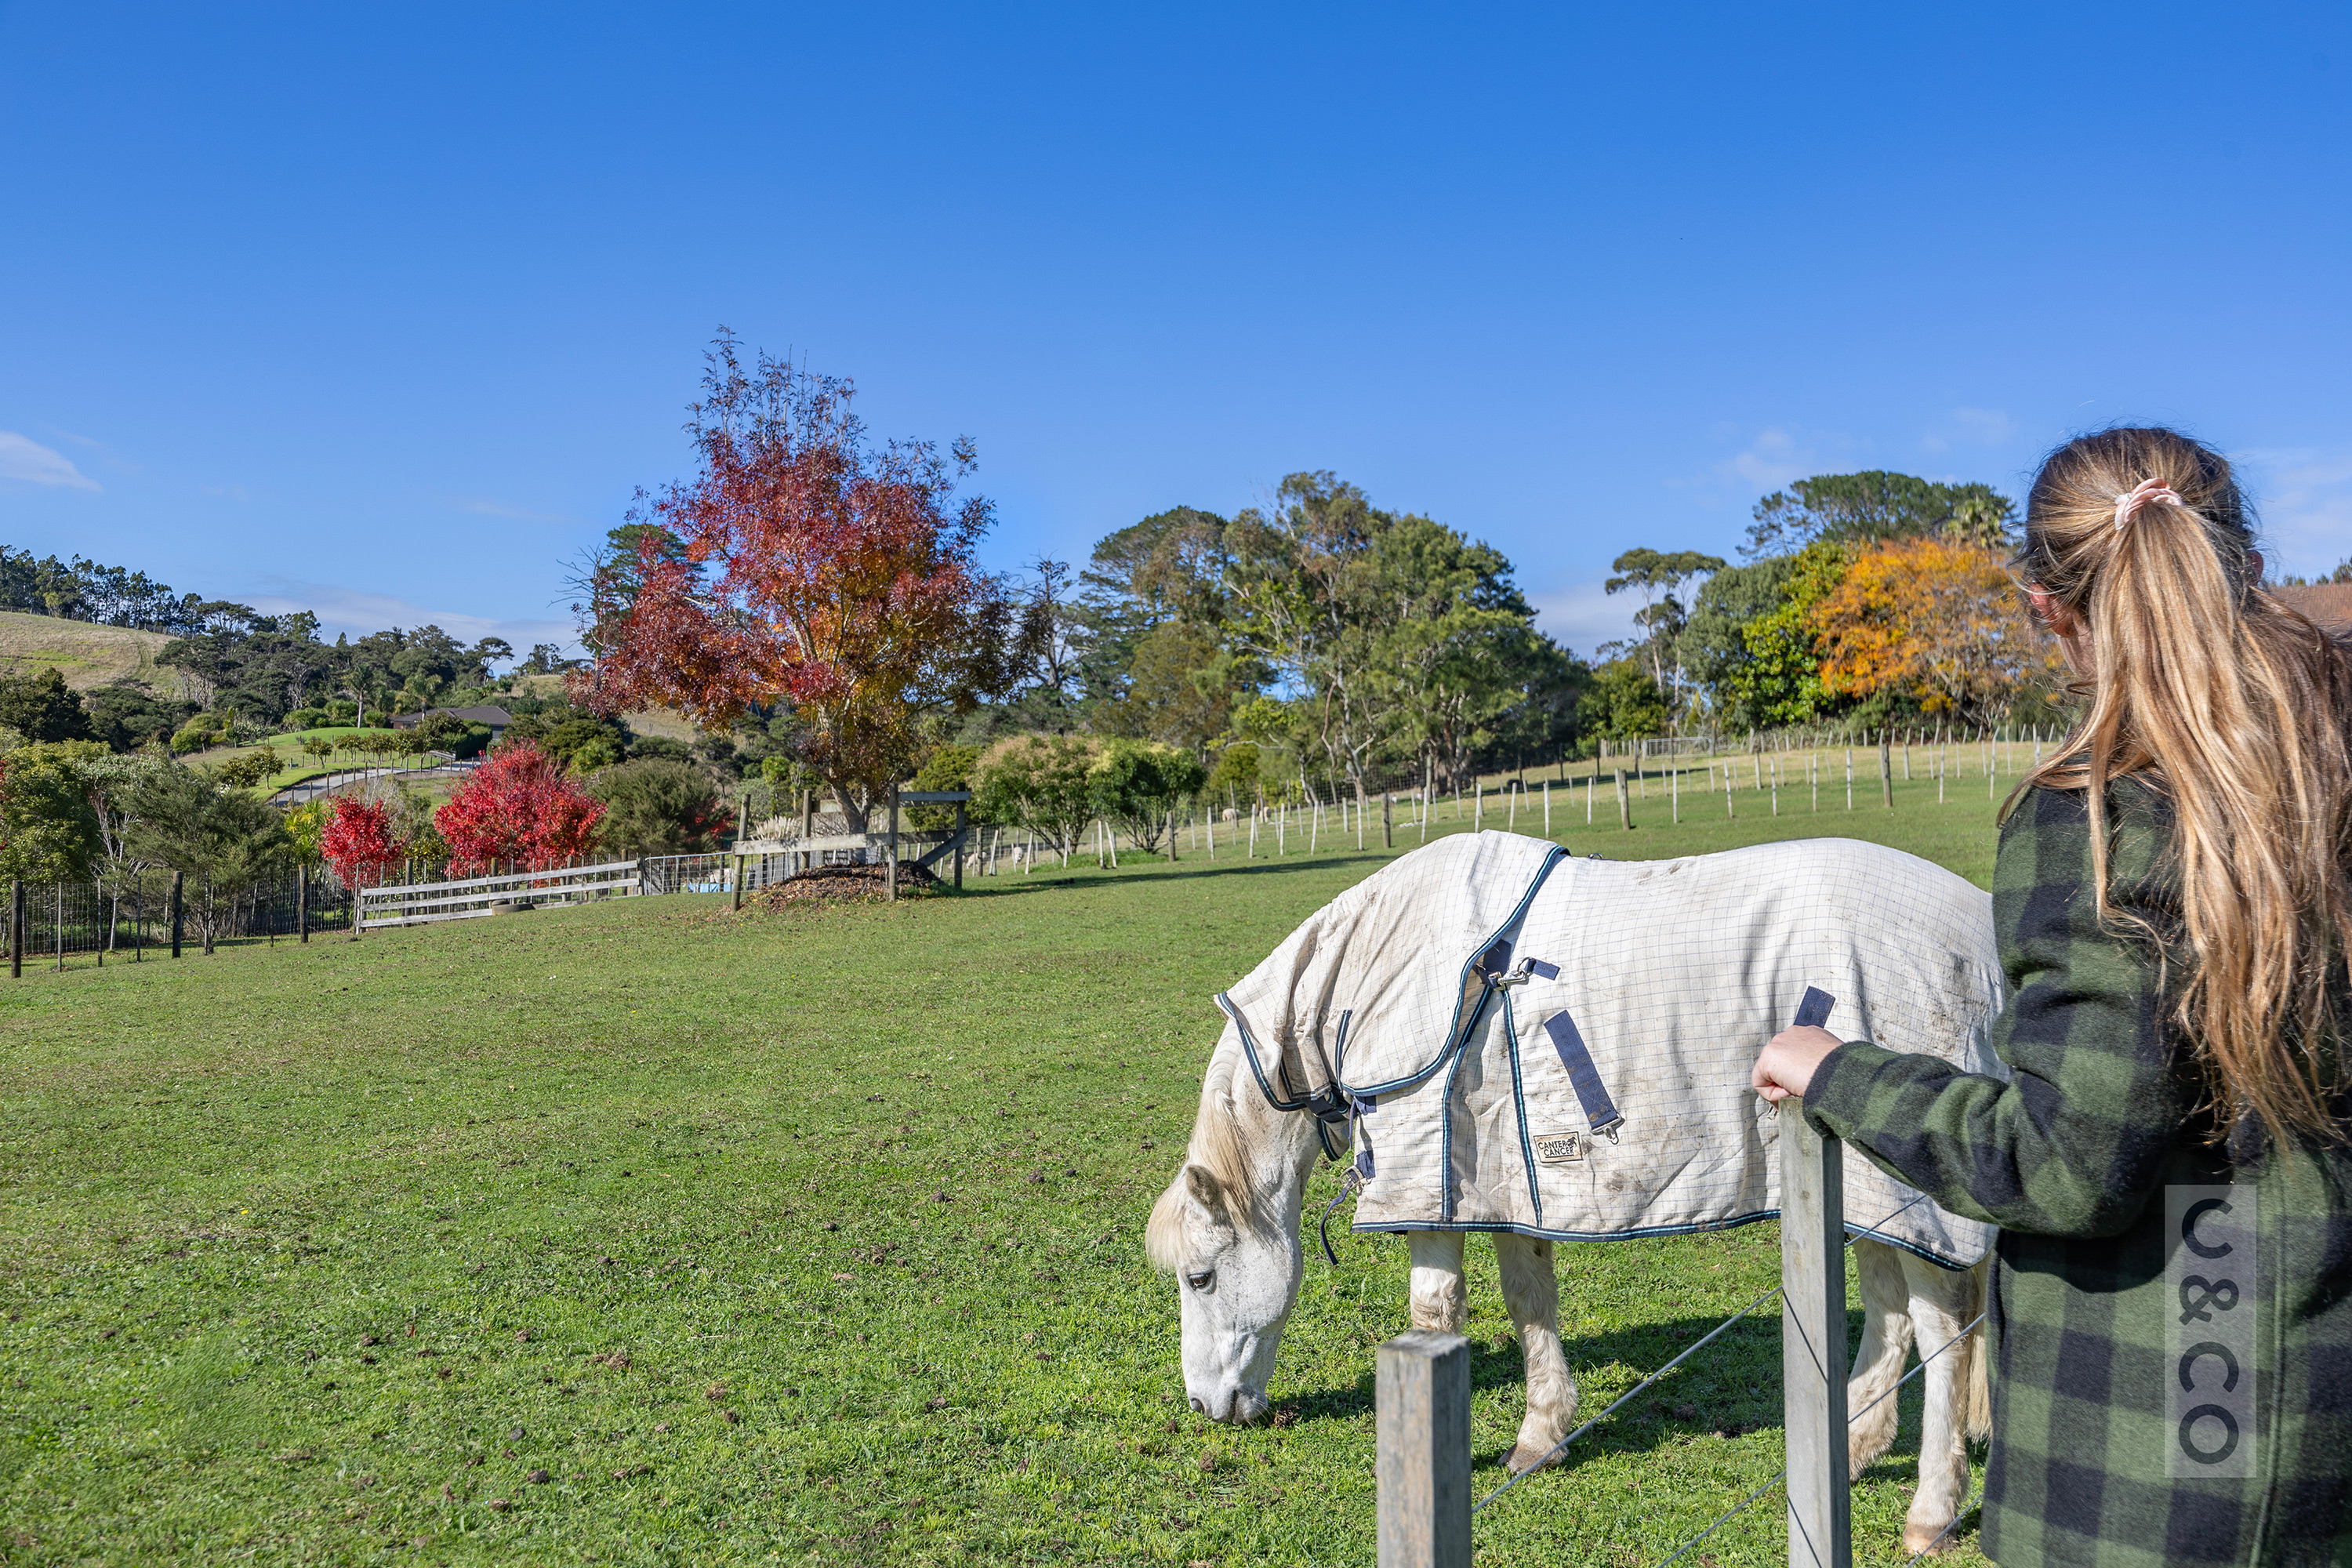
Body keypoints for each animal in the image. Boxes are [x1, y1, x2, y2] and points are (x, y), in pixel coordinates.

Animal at [1148, 832, 1994, 1561]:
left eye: (1201, 1277)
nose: (1204, 1404)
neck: (1380, 967)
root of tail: (1975, 933)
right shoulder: (1502, 1177)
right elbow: (1529, 1297)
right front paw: (1541, 1434)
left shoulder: (1430, 1183)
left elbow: (1434, 1314)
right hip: (1866, 1196)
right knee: (1890, 1314)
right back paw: (1850, 1453)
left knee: (1941, 1327)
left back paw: (1931, 1510)